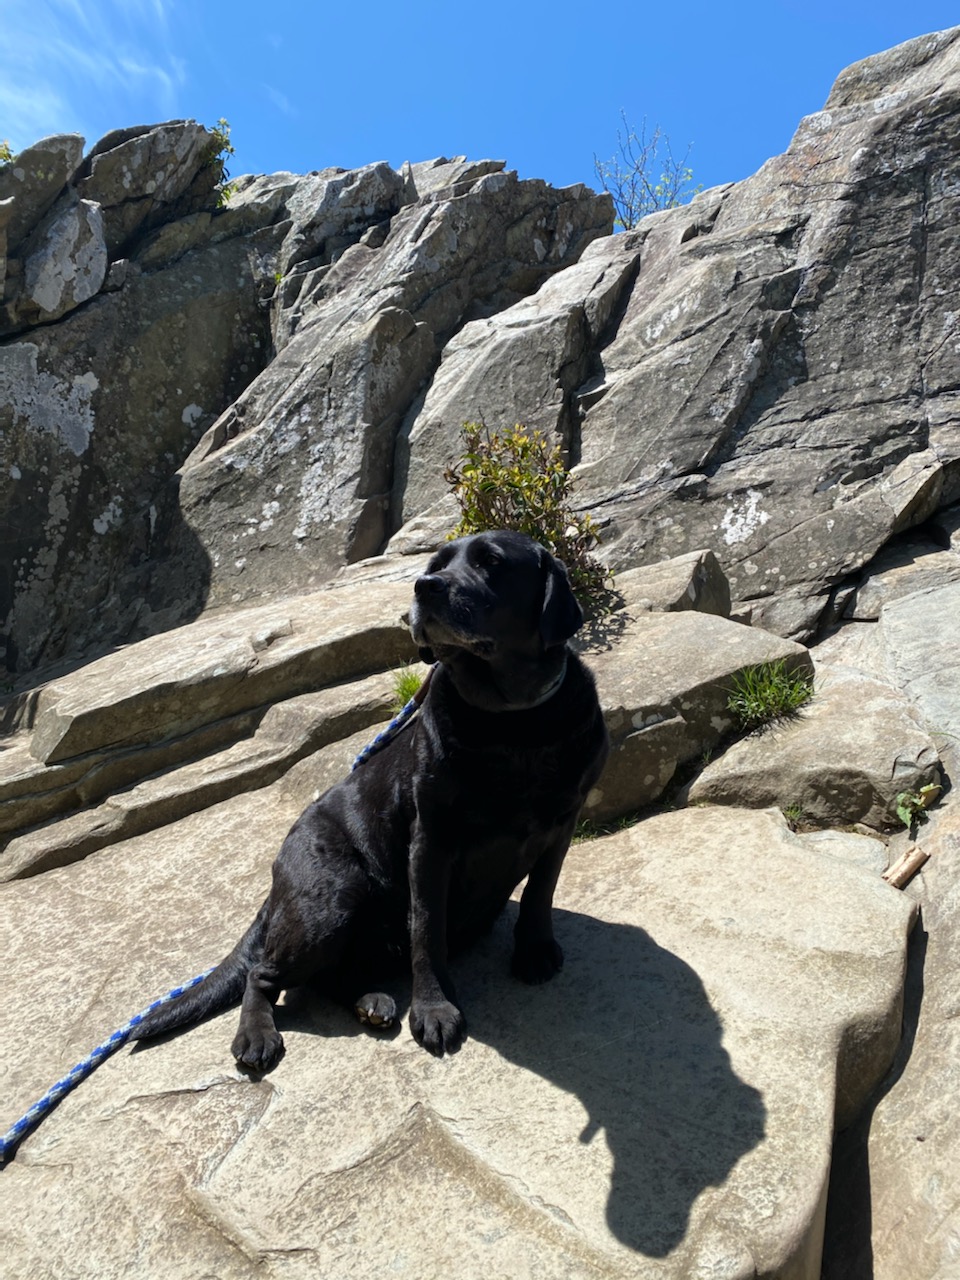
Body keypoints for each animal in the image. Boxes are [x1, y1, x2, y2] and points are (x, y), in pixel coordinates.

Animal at [133, 527, 609, 1059]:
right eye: (438, 564)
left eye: (492, 563)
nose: (425, 586)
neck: (512, 723)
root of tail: (276, 884)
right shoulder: (430, 841)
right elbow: (427, 928)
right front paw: (435, 1009)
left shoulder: (562, 822)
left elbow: (540, 892)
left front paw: (534, 950)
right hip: (331, 898)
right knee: (263, 973)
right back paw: (257, 1033)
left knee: (326, 976)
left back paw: (370, 1000)